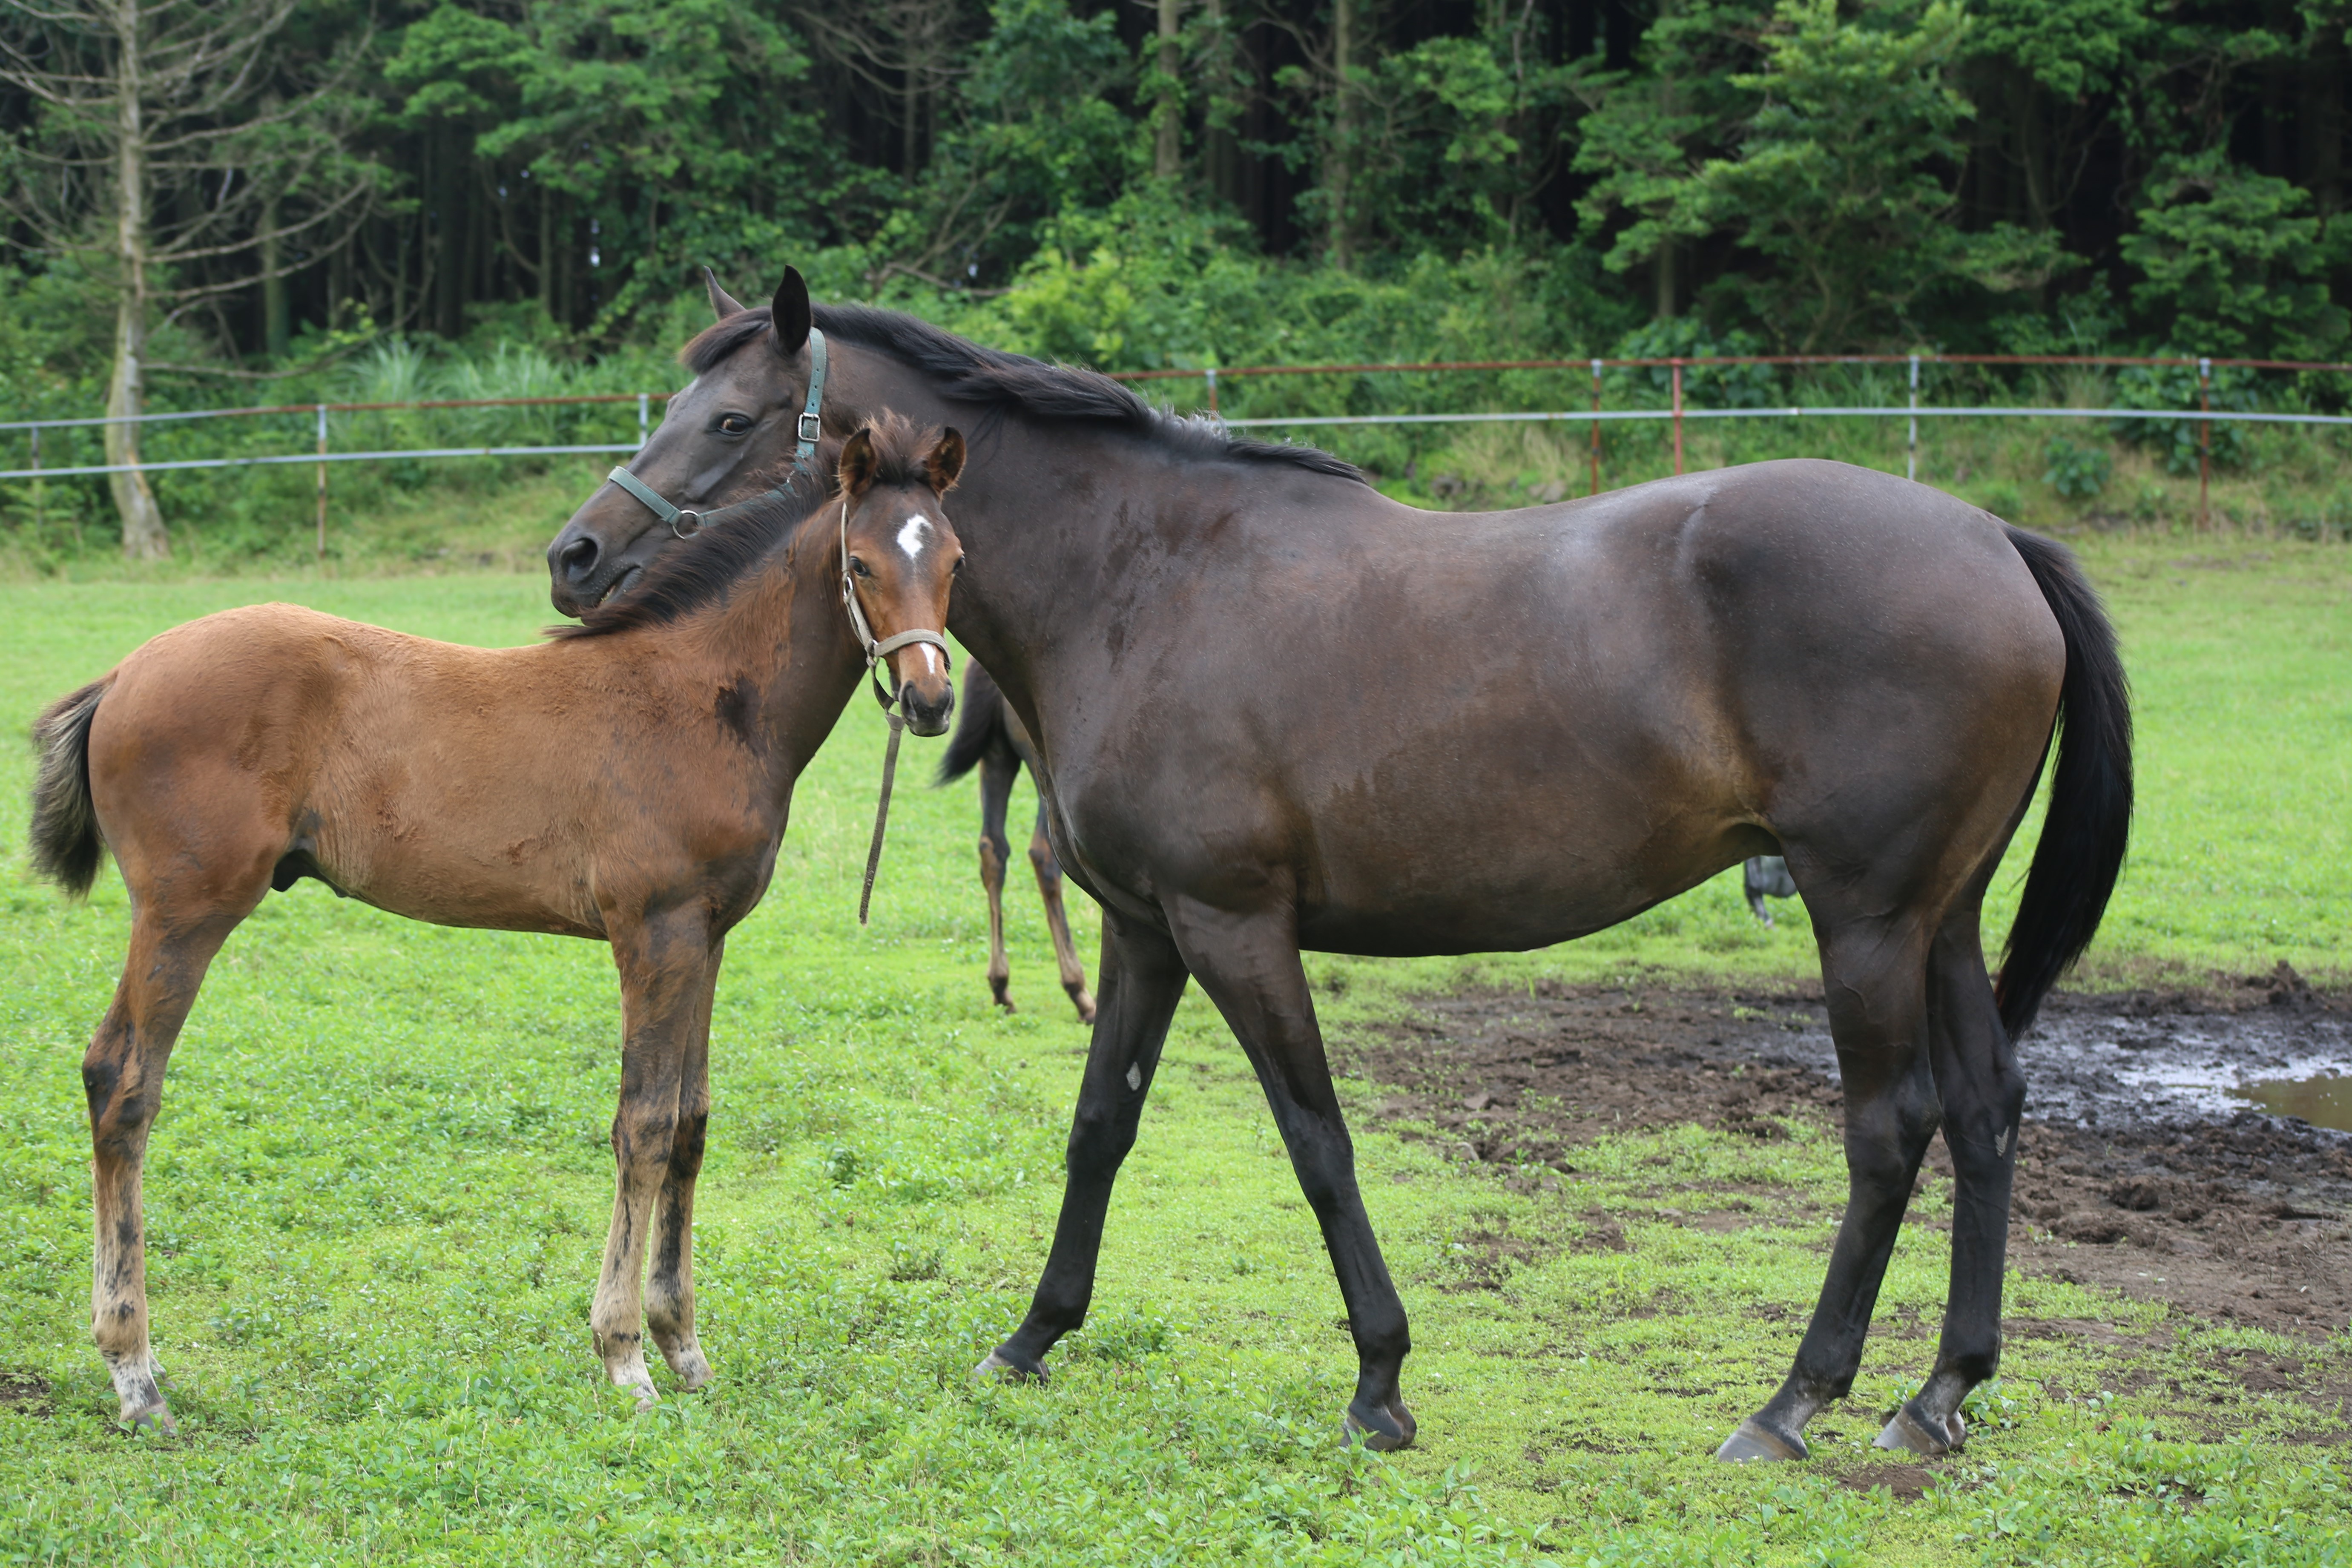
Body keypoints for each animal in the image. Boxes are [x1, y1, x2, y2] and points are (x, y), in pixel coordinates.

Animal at [30, 416, 964, 1439]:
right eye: (863, 563)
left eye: (954, 561)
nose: (929, 700)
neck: (700, 698)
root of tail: (125, 672)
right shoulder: (654, 932)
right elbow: (642, 1124)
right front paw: (624, 1355)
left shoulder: (708, 937)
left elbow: (691, 1121)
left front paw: (684, 1346)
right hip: (184, 912)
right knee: (122, 1081)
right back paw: (134, 1372)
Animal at [541, 276, 2126, 1467]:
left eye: (730, 418)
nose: (576, 556)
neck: (1144, 579)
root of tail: (1992, 536)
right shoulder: (1144, 931)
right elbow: (1098, 1128)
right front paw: (1033, 1336)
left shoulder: (1236, 927)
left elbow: (1315, 1141)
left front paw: (1379, 1382)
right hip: (1939, 920)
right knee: (1987, 1109)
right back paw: (1938, 1395)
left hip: (1863, 918)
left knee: (1889, 1129)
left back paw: (1793, 1402)